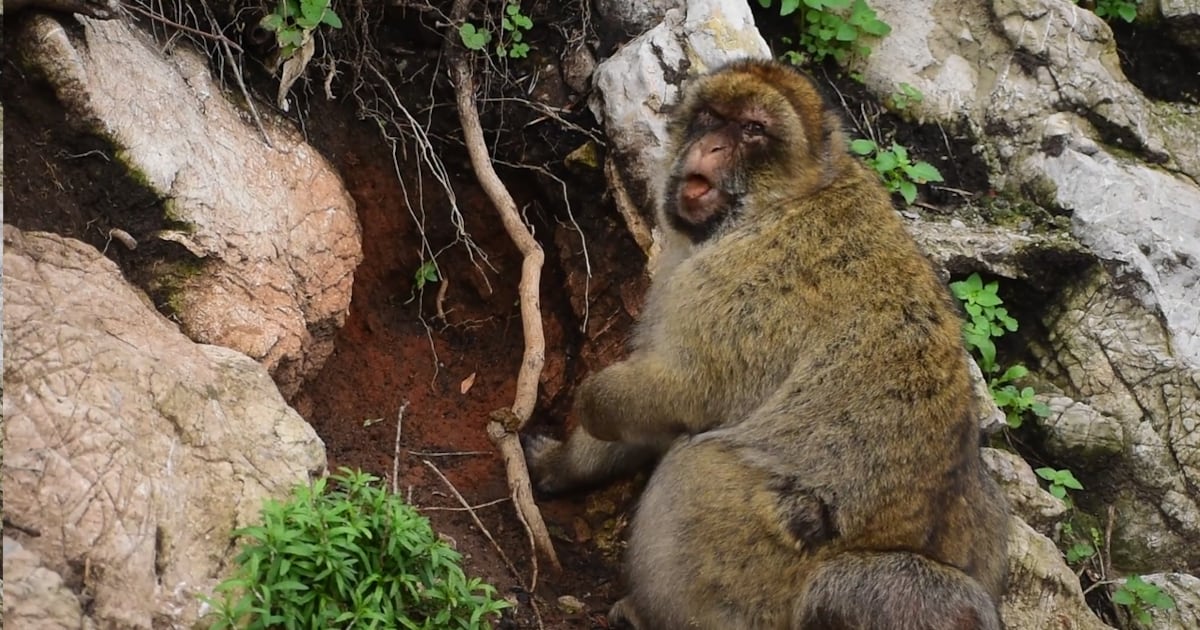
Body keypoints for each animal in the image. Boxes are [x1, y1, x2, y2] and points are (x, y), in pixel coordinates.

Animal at [525, 57, 1010, 629]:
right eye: (711, 116)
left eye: (752, 129)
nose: (710, 147)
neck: (789, 198)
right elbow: (657, 418)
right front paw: (562, 465)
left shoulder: (744, 281)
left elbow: (682, 393)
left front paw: (592, 404)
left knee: (698, 466)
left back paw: (650, 614)